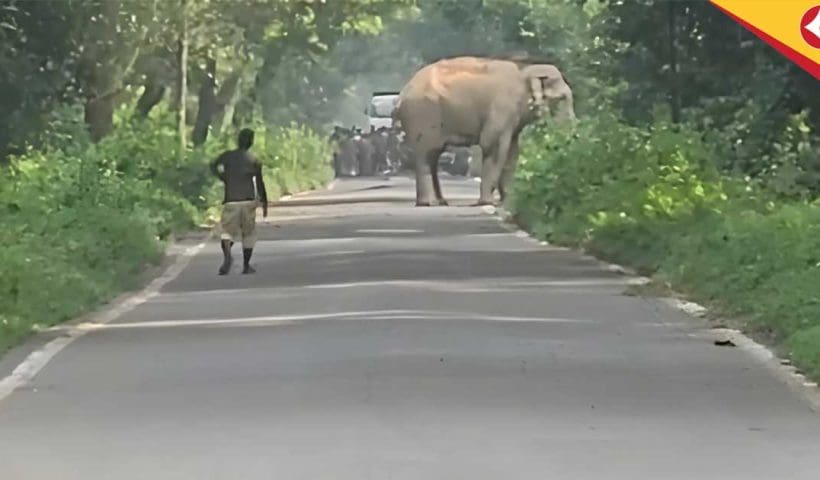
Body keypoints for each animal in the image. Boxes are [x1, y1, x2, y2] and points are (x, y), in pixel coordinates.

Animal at [392, 56, 575, 206]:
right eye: (561, 98)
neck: (526, 69)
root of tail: (401, 95)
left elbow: (513, 152)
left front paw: (509, 202)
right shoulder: (502, 108)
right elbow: (492, 145)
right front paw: (487, 202)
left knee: (433, 156)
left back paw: (440, 202)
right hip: (424, 115)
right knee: (427, 154)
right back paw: (427, 203)